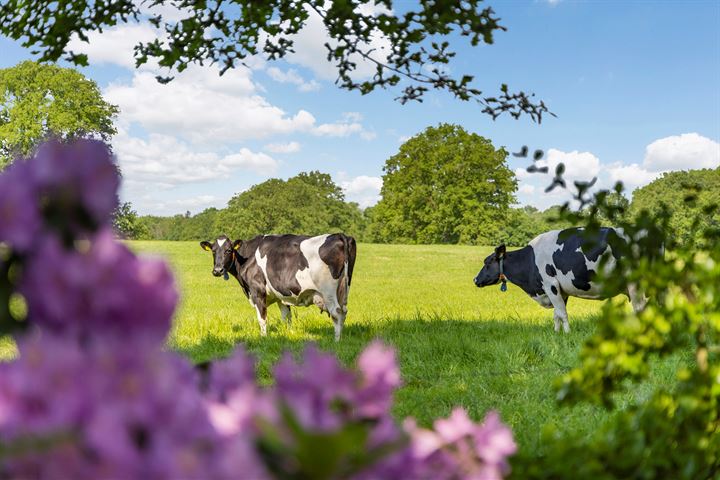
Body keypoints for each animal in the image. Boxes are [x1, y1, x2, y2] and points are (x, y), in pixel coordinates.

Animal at [200, 233, 358, 342]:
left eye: (228, 250)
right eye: (213, 251)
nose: (217, 270)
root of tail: (339, 234)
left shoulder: (258, 291)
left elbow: (262, 318)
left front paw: (263, 338)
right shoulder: (281, 296)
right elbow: (286, 318)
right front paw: (287, 335)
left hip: (328, 291)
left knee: (336, 312)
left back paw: (336, 341)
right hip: (344, 288)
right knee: (343, 312)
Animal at [472, 227, 648, 332]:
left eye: (487, 263)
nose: (475, 280)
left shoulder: (550, 285)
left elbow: (562, 313)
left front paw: (567, 334)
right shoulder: (560, 291)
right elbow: (557, 314)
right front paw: (557, 334)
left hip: (635, 283)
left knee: (640, 309)